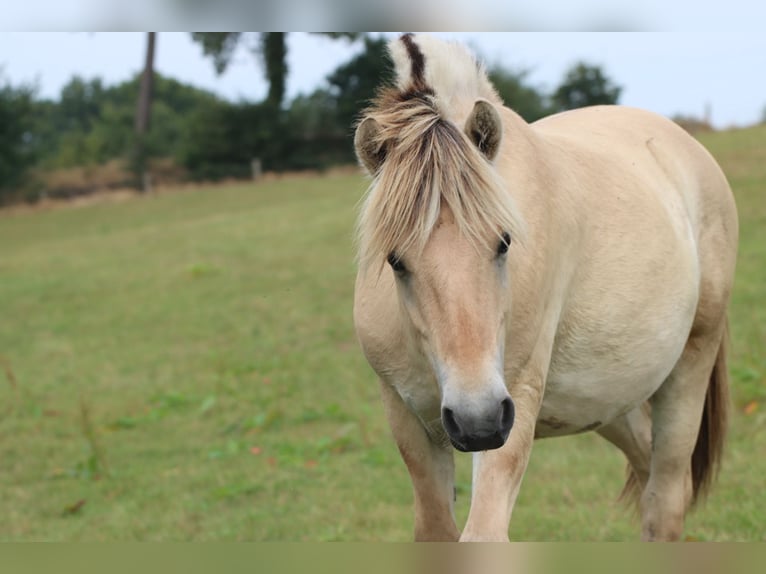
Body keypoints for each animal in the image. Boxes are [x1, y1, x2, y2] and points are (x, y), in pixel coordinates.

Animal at [352, 33, 736, 544]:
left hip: (689, 367)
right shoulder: (408, 416)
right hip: (610, 403)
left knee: (666, 498)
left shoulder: (513, 402)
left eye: (504, 242)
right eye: (395, 260)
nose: (476, 420)